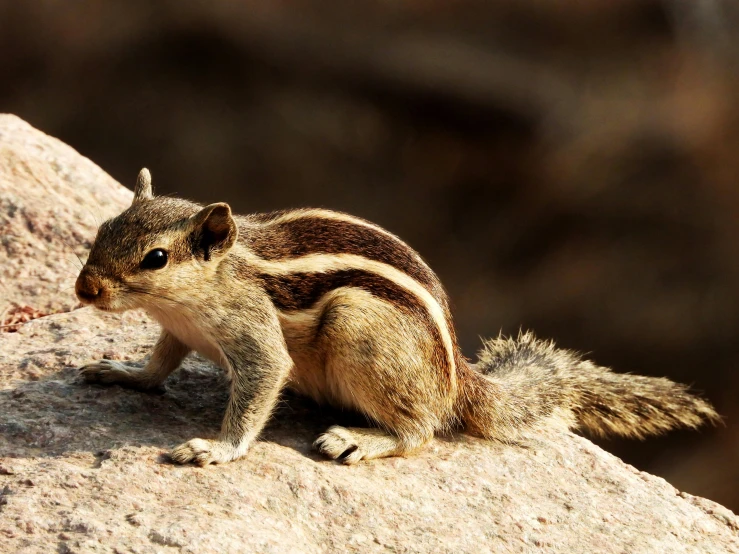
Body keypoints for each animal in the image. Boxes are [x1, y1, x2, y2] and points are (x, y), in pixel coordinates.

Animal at [76, 167, 724, 462]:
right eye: (103, 229)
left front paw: (216, 449)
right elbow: (158, 365)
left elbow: (261, 383)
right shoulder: (175, 331)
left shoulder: (254, 334)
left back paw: (359, 440)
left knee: (421, 432)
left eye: (156, 258)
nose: (84, 289)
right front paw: (120, 372)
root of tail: (459, 378)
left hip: (359, 331)